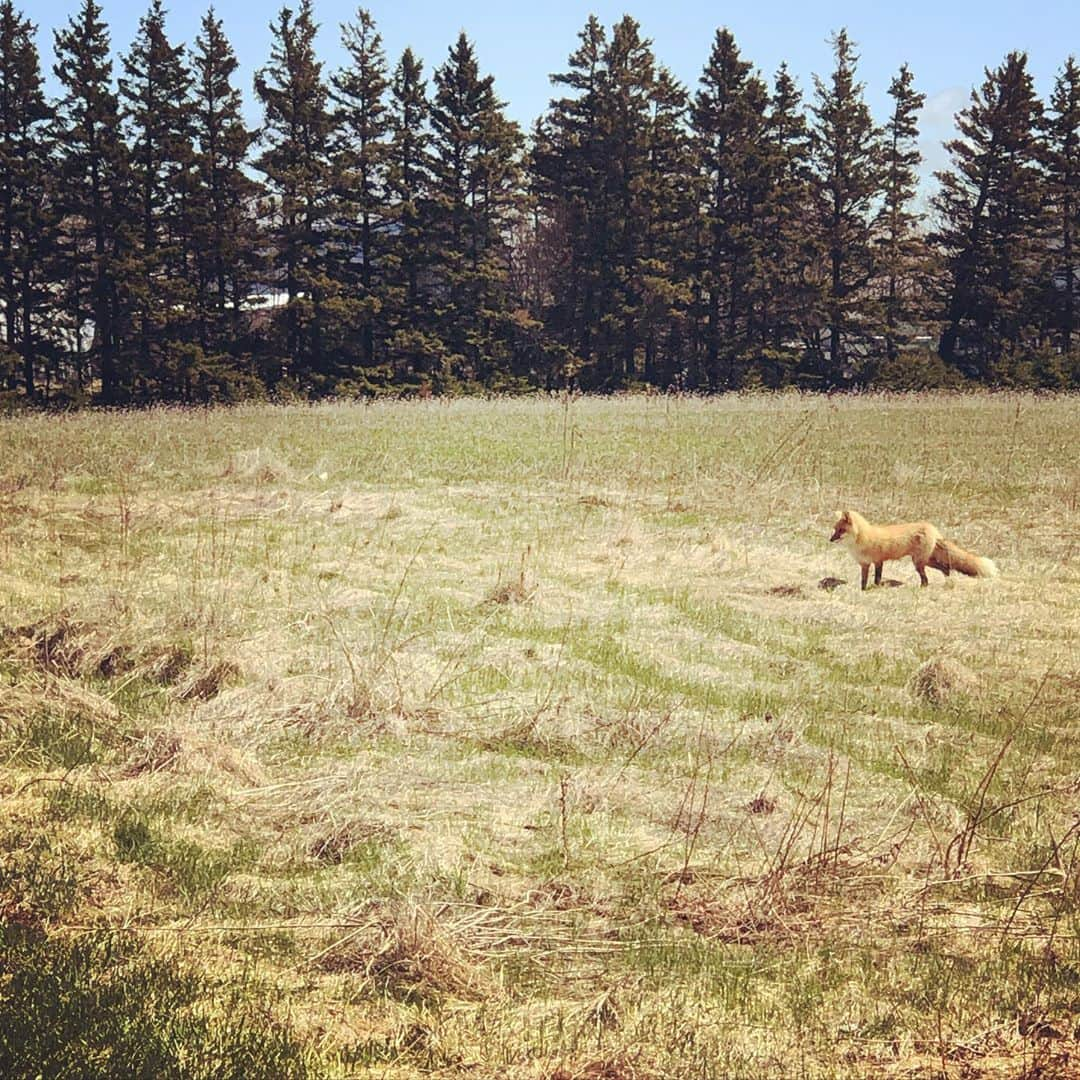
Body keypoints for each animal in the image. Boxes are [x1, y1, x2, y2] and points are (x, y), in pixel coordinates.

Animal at [829, 507, 997, 591]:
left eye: (841, 530)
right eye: (834, 529)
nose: (830, 540)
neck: (862, 539)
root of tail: (932, 528)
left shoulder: (878, 561)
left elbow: (877, 579)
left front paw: (875, 589)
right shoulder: (865, 564)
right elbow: (863, 581)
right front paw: (863, 591)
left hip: (918, 562)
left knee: (927, 579)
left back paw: (922, 588)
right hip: (926, 561)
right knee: (945, 568)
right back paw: (947, 583)